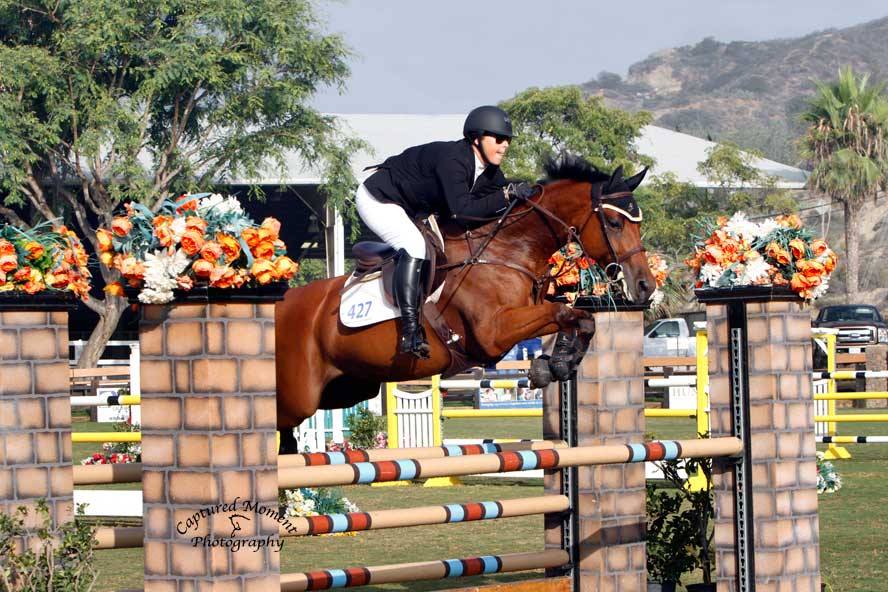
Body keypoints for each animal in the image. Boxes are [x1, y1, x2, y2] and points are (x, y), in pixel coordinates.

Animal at [274, 156, 656, 448]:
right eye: (614, 222)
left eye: (638, 224)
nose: (645, 286)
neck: (509, 250)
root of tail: (284, 304)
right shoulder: (492, 334)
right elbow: (561, 310)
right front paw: (555, 363)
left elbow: (579, 317)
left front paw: (556, 364)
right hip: (300, 397)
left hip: (348, 388)